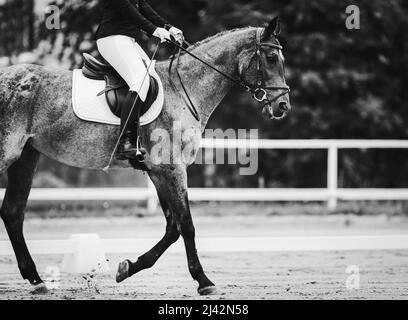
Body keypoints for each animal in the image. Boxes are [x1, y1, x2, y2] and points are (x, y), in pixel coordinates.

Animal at [0, 18, 290, 296]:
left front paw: (127, 268)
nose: (282, 106)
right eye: (271, 58)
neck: (184, 90)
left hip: (26, 157)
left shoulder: (158, 172)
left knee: (13, 213)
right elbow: (187, 225)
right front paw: (204, 281)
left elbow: (173, 228)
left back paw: (37, 281)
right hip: (8, 153)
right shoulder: (173, 169)